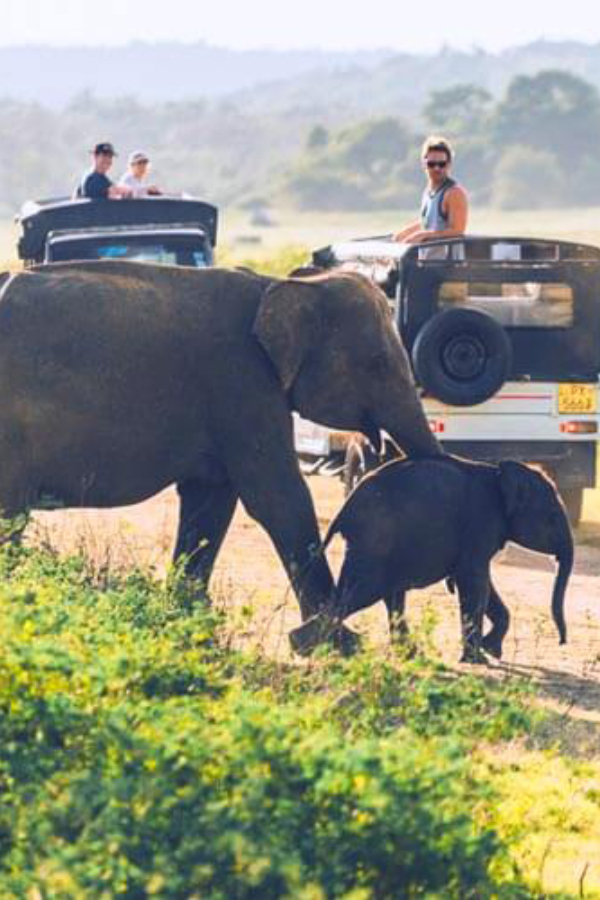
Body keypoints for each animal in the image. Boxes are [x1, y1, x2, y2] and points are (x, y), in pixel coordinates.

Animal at [0, 260, 441, 644]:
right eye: (378, 363)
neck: (284, 284)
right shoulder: (243, 382)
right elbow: (278, 499)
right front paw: (338, 644)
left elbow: (210, 499)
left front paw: (190, 621)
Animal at [289, 455, 573, 662]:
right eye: (552, 518)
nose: (562, 642)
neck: (500, 473)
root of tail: (345, 508)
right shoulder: (481, 521)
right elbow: (474, 581)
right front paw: (477, 659)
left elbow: (480, 582)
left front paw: (490, 651)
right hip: (374, 540)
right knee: (359, 593)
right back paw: (303, 647)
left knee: (387, 595)